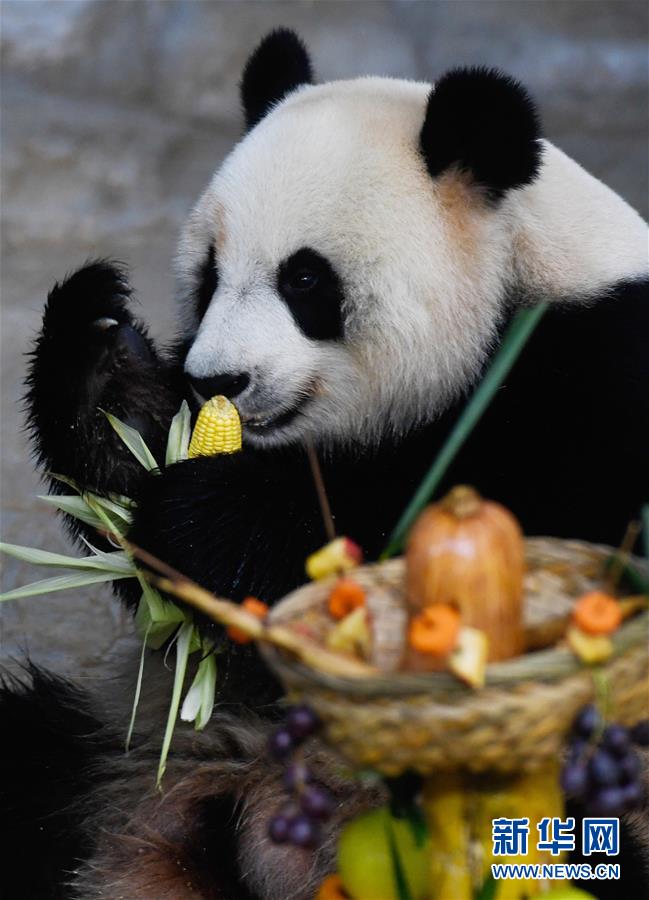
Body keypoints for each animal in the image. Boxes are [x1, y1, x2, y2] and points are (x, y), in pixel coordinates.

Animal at [2, 28, 644, 900]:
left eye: (305, 278)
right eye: (209, 274)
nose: (217, 381)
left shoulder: (600, 379)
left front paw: (207, 516)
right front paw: (106, 362)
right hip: (107, 749)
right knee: (28, 756)